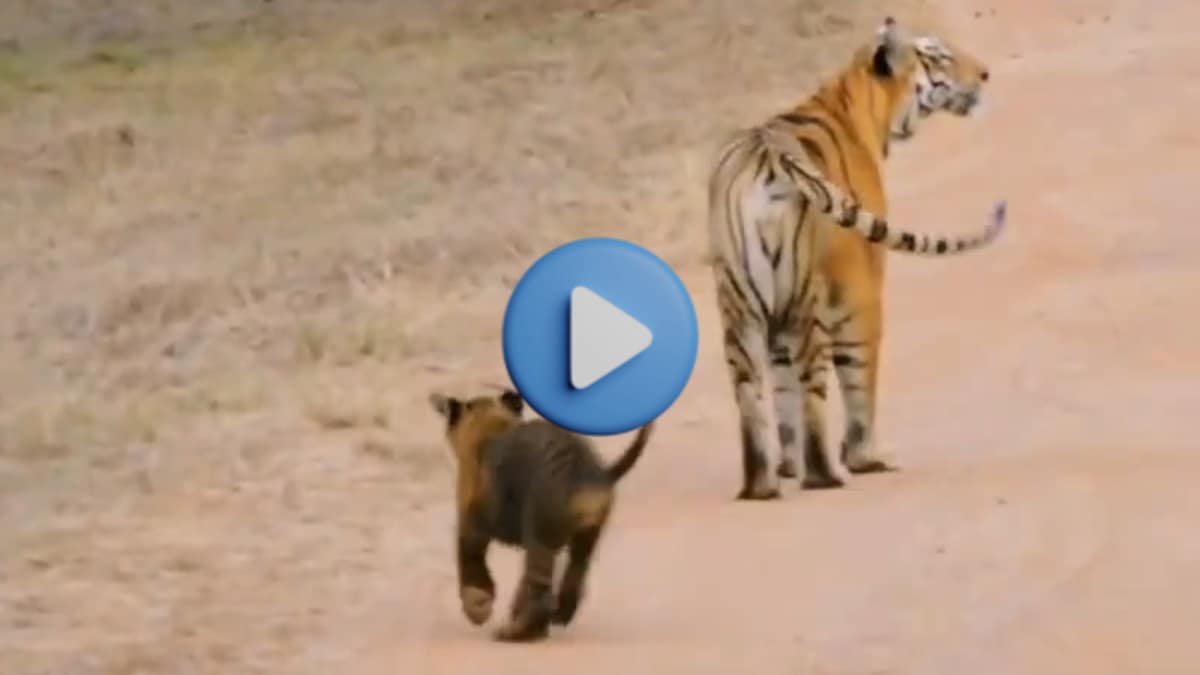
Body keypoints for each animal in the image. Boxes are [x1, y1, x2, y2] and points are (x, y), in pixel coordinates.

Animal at [429, 387, 655, 642]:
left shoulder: (471, 527)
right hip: (583, 537)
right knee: (573, 576)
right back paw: (556, 616)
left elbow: (472, 571)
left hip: (541, 534)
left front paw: (477, 611)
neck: (489, 424)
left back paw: (517, 632)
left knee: (540, 589)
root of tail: (586, 472)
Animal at [706, 16, 1007, 500]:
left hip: (740, 307)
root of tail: (770, 153)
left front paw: (787, 465)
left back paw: (761, 485)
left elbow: (783, 397)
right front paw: (867, 457)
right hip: (803, 301)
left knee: (751, 394)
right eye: (939, 55)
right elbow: (859, 377)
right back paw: (826, 474)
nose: (984, 73)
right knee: (814, 390)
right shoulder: (859, 290)